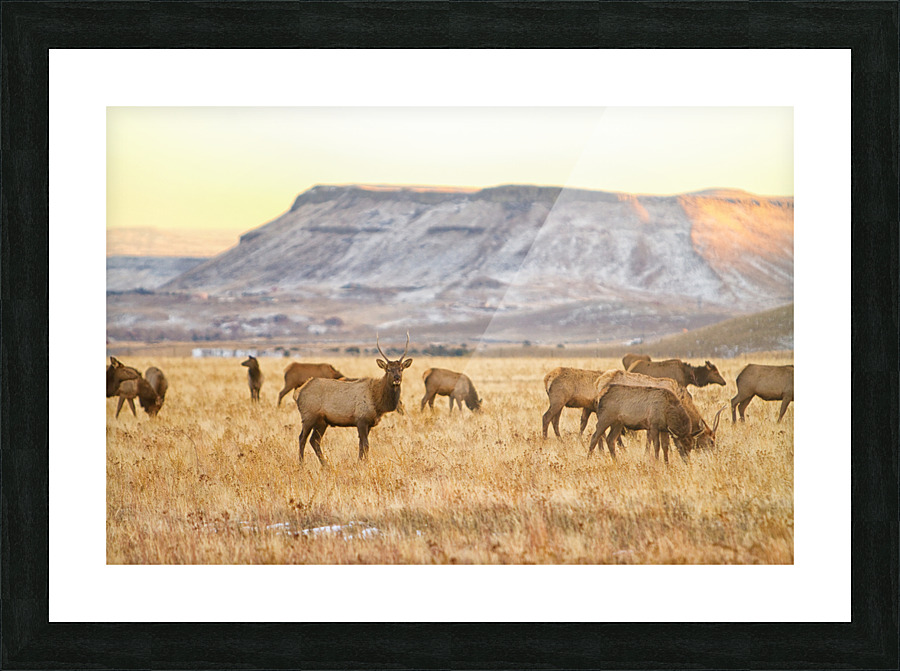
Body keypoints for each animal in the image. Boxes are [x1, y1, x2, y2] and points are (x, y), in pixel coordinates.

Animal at [296, 333, 412, 466]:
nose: (397, 378)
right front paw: (364, 463)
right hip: (308, 416)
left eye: (401, 368)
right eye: (388, 369)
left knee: (314, 440)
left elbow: (361, 445)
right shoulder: (361, 420)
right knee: (302, 438)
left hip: (322, 421)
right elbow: (365, 445)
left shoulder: (369, 423)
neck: (378, 402)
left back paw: (326, 465)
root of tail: (299, 393)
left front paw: (360, 462)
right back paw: (301, 464)